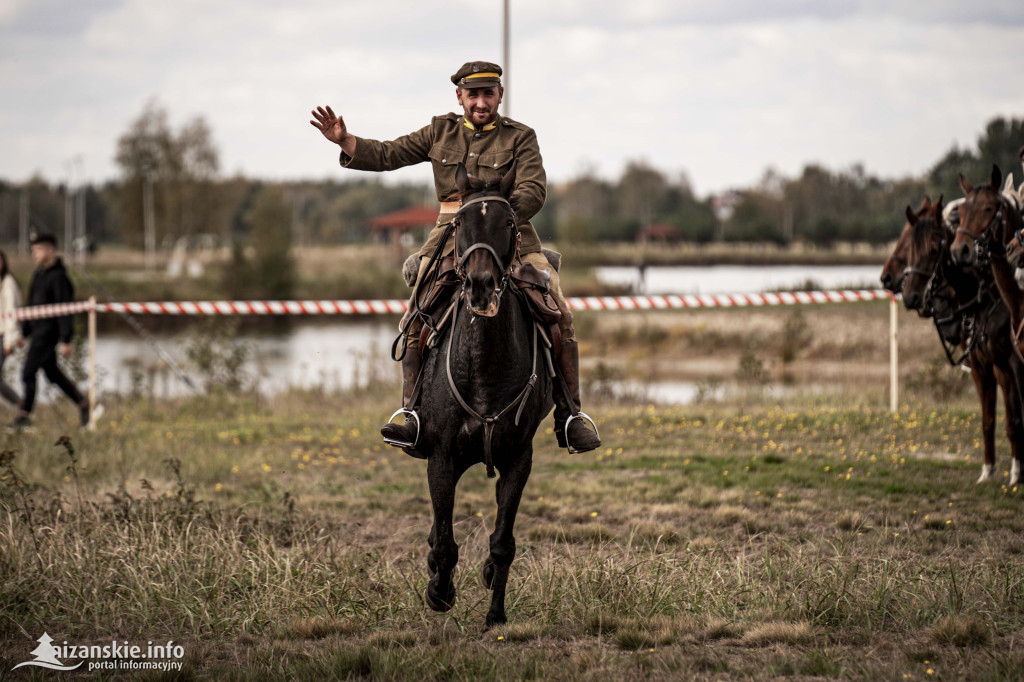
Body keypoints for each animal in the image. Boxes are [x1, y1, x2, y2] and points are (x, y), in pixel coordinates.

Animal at [415, 160, 552, 626]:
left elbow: (503, 541)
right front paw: (439, 592)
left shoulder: (519, 459)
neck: (484, 374)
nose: (480, 285)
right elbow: (444, 540)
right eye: (459, 222)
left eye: (508, 222)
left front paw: (496, 613)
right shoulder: (441, 459)